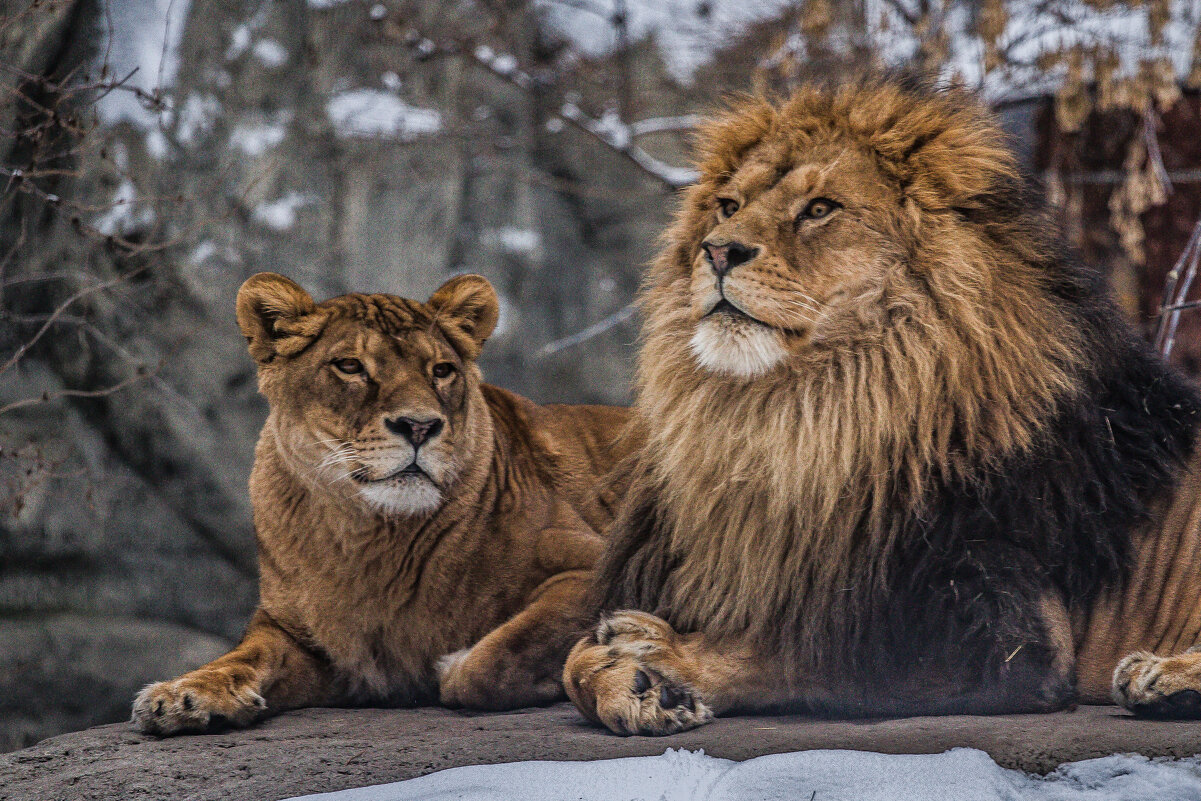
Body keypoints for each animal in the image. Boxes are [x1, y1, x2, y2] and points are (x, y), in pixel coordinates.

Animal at [135, 273, 634, 734]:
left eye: (441, 370)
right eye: (350, 366)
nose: (419, 426)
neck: (368, 536)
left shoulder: (595, 565)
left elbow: (497, 656)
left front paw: (457, 663)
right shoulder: (296, 632)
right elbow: (244, 655)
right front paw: (182, 695)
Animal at [562, 78, 1201, 734]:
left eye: (820, 209)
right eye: (728, 206)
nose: (717, 253)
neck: (798, 417)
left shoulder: (1010, 633)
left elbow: (801, 650)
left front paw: (661, 661)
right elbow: (572, 659)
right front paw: (624, 672)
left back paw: (1162, 676)